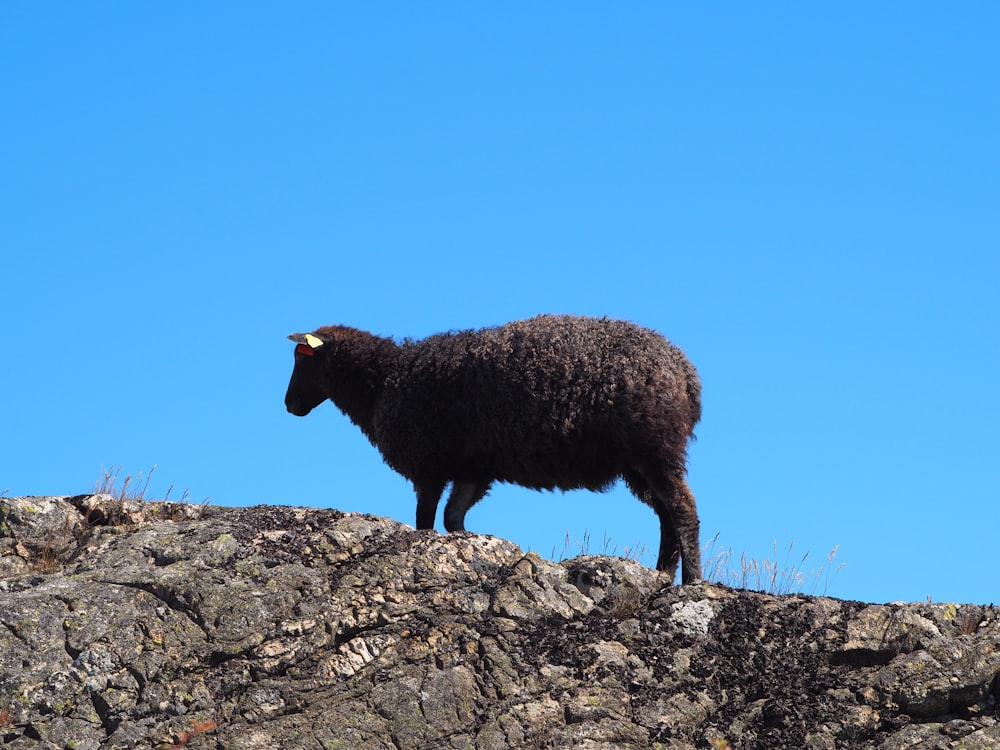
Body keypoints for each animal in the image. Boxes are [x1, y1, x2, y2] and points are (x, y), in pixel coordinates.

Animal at [284, 314, 704, 584]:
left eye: (301, 361)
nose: (290, 405)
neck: (384, 380)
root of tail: (686, 373)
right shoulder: (471, 469)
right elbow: (453, 519)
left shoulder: (429, 465)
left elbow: (426, 521)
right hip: (640, 461)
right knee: (666, 513)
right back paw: (663, 574)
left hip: (655, 446)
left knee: (683, 509)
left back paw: (693, 581)